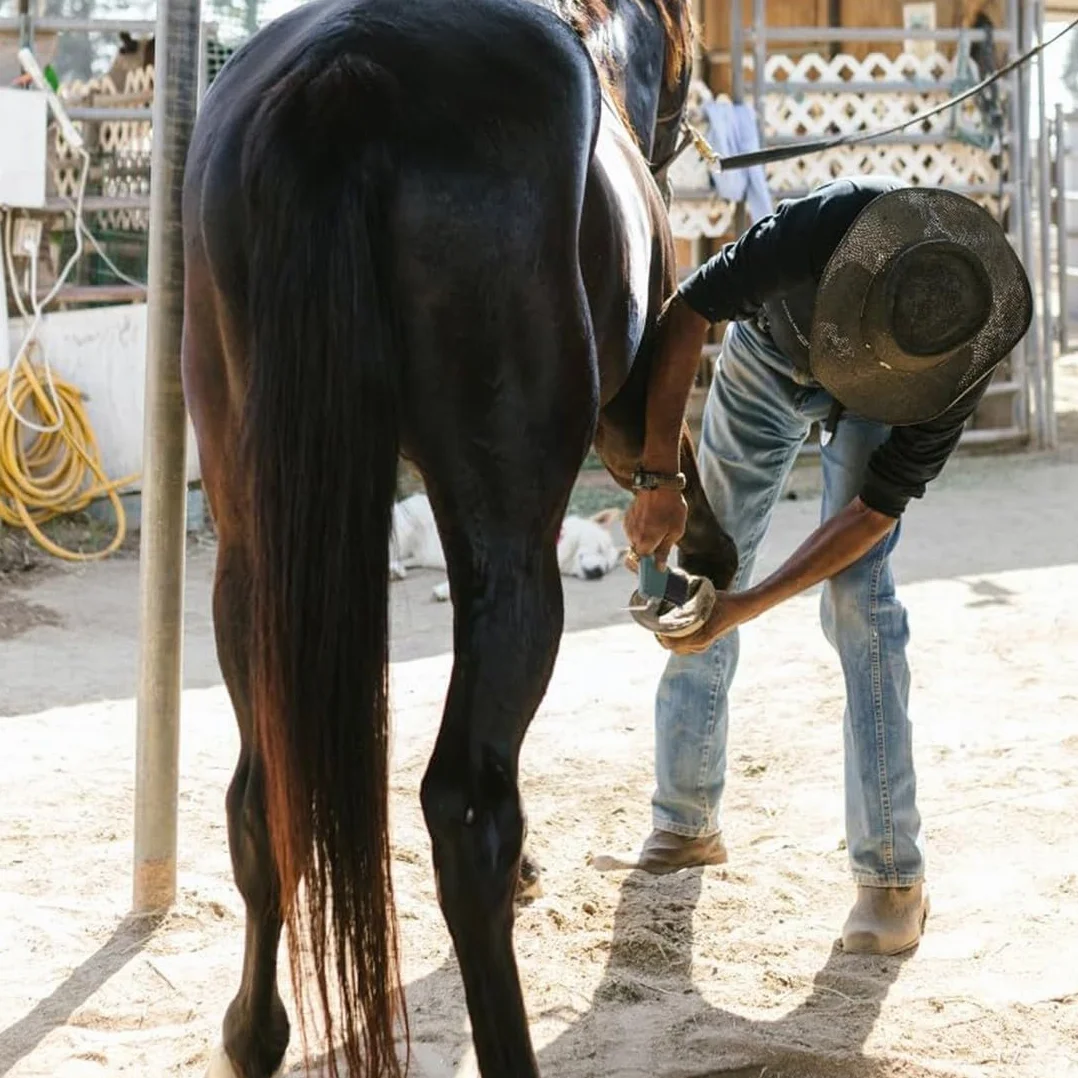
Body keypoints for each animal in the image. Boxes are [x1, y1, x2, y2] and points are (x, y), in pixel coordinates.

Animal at [181, 0, 737, 1075]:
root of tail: (347, 70)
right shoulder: (631, 398)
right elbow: (671, 453)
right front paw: (705, 546)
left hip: (252, 552)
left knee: (258, 800)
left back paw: (252, 1032)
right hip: (511, 550)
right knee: (467, 813)